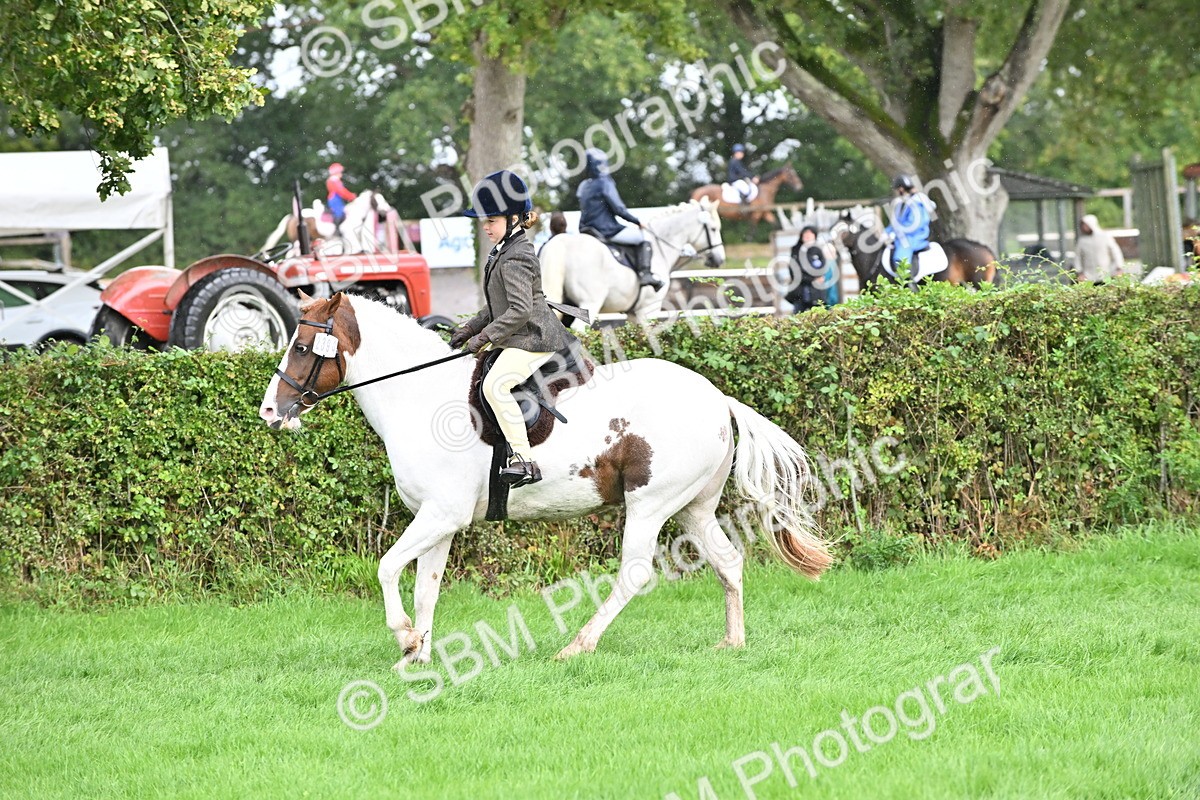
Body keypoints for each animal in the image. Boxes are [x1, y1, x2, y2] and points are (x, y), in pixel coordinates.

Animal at [258, 292, 833, 667]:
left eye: (302, 349)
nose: (269, 412)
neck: (418, 398)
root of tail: (717, 397)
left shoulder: (440, 515)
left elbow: (386, 567)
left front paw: (403, 639)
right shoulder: (438, 521)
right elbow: (426, 587)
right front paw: (417, 655)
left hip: (650, 504)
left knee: (635, 572)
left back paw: (578, 645)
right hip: (694, 507)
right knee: (727, 560)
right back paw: (732, 643)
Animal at [260, 189, 392, 259]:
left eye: (383, 198)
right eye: (377, 200)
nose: (387, 209)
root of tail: (292, 216)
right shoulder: (349, 236)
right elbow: (354, 249)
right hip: (297, 241)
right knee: (290, 254)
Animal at [539, 198, 726, 330]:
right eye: (714, 229)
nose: (719, 259)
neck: (659, 248)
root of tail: (561, 242)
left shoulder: (634, 314)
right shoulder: (649, 309)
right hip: (590, 303)